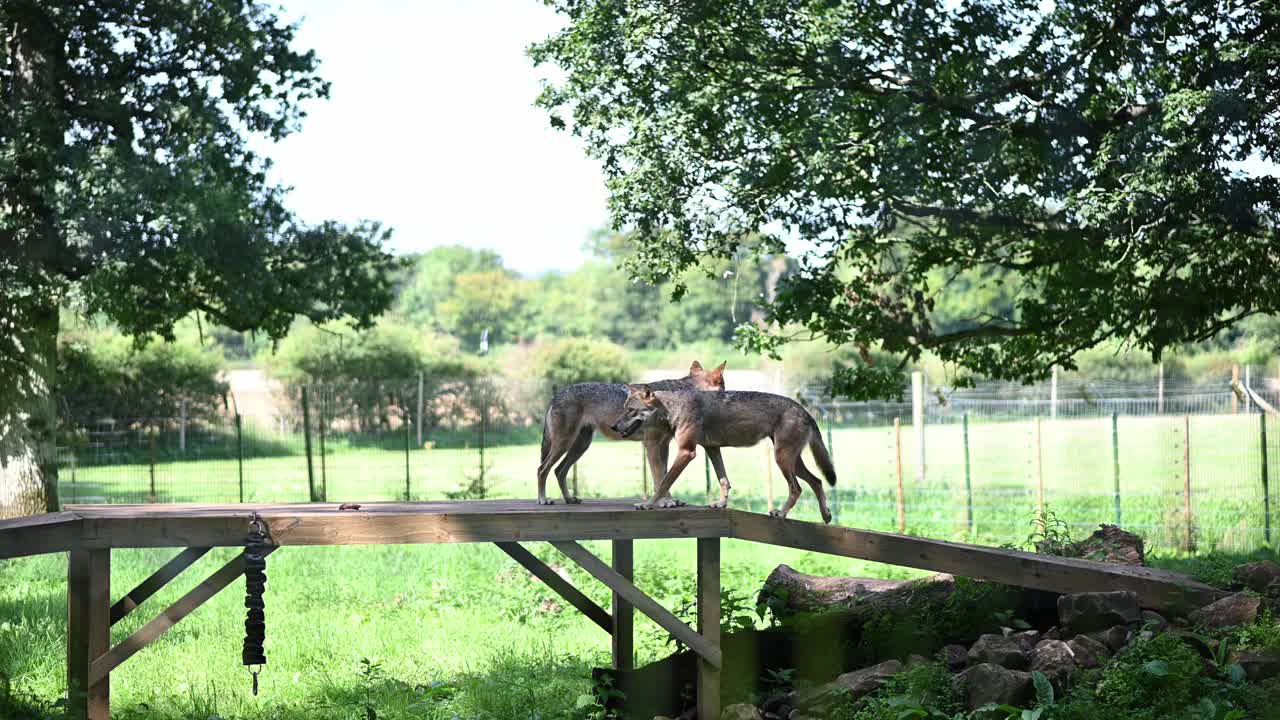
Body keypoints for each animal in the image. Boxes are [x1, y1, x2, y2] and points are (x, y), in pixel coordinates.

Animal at [536, 361, 727, 505]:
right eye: (724, 389)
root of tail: (556, 395)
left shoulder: (663, 445)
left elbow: (665, 477)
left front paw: (668, 501)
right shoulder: (651, 445)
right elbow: (659, 477)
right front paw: (665, 502)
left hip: (580, 446)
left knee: (559, 470)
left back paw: (569, 499)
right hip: (564, 444)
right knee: (542, 469)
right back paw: (543, 499)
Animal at [609, 385, 837, 522]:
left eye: (630, 410)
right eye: (624, 409)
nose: (613, 426)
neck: (672, 408)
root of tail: (805, 411)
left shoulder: (687, 452)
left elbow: (664, 482)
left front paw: (648, 505)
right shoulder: (712, 448)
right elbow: (724, 480)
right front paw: (721, 504)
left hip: (782, 459)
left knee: (797, 488)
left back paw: (780, 513)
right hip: (791, 461)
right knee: (817, 481)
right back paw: (826, 515)